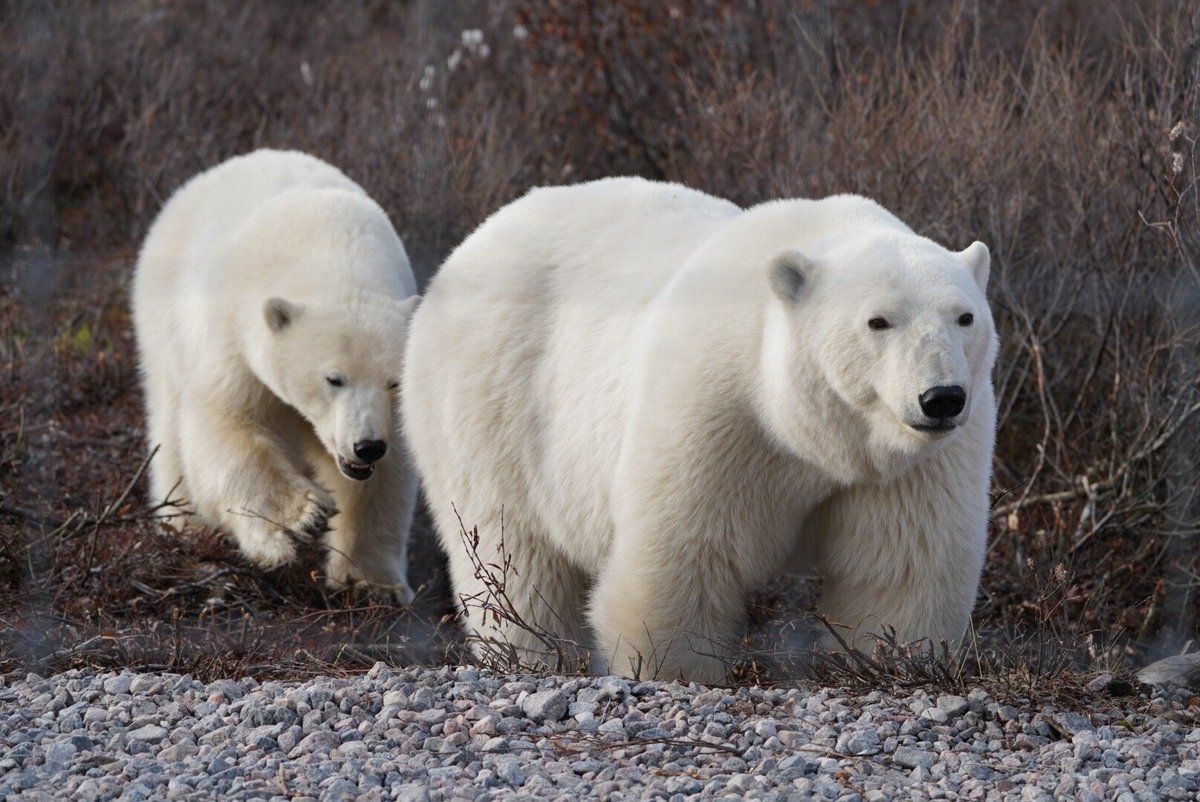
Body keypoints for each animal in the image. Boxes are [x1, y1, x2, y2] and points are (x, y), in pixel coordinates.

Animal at [132, 150, 420, 600]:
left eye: (393, 382)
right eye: (334, 379)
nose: (367, 446)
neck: (330, 246)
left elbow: (381, 482)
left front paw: (371, 585)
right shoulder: (238, 336)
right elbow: (225, 424)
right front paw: (303, 515)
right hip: (164, 322)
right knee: (170, 422)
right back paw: (183, 523)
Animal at [408, 176, 998, 681]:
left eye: (964, 317)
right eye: (879, 321)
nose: (941, 398)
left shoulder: (915, 461)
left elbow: (903, 563)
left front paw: (897, 661)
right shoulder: (721, 407)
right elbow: (684, 551)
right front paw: (674, 669)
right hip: (492, 400)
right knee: (514, 551)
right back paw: (531, 654)